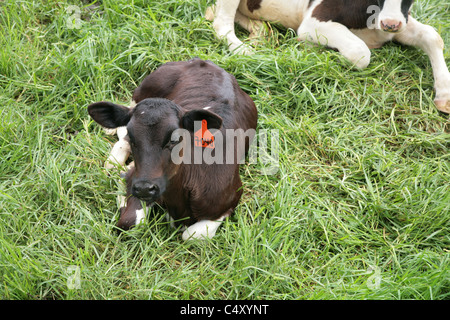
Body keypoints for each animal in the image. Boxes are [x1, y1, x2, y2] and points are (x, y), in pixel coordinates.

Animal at [89, 59, 256, 240]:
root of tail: (206, 62)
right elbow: (130, 224)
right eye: (133, 137)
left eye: (175, 138)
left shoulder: (230, 198)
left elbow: (191, 235)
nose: (144, 187)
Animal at [207, 0, 450, 113]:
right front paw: (316, 51)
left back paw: (260, 34)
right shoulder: (313, 22)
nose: (391, 24)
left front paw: (444, 95)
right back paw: (244, 50)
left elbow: (433, 36)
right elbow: (361, 52)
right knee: (221, 24)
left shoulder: (399, 22)